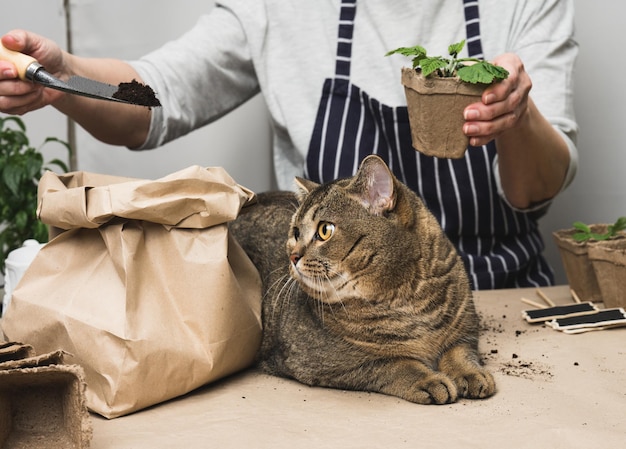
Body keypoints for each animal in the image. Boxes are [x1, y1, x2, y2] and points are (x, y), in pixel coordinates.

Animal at [228, 154, 492, 402]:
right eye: (295, 232)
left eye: (325, 230)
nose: (293, 256)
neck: (409, 302)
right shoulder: (322, 363)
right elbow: (395, 364)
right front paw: (428, 380)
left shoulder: (465, 333)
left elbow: (459, 353)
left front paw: (471, 374)